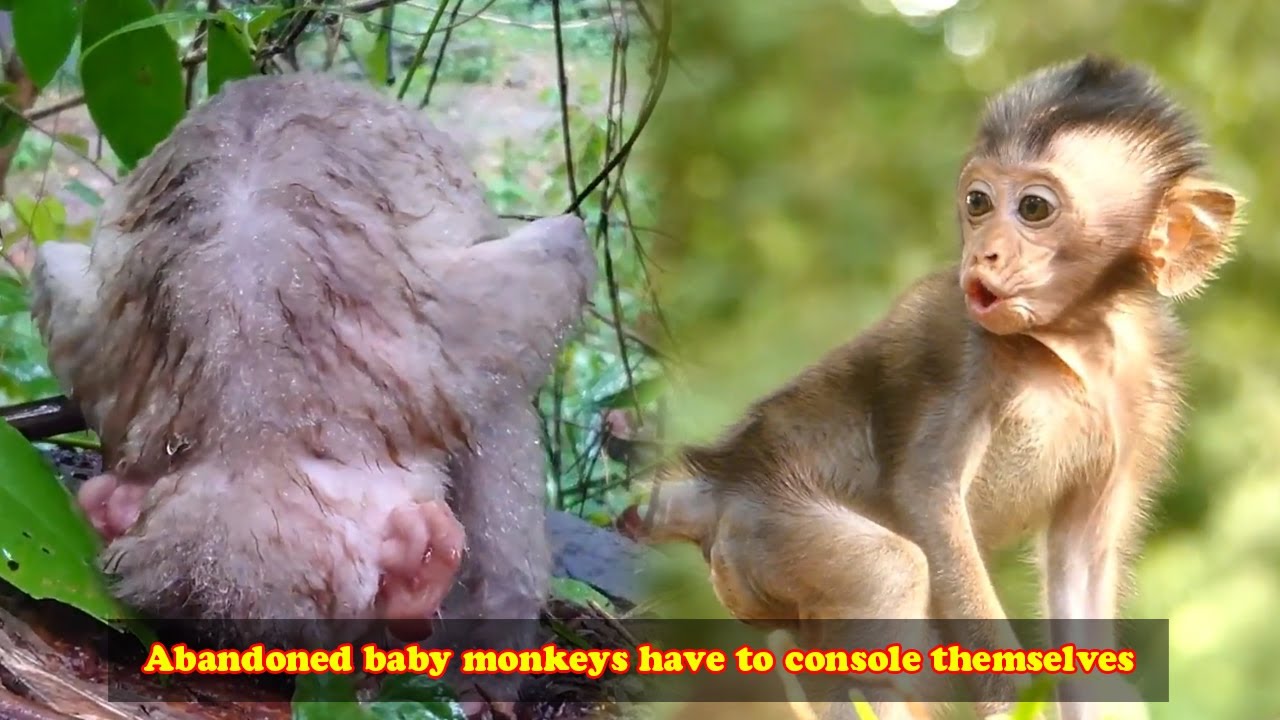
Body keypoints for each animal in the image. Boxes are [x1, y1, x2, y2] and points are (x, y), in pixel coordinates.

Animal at [640, 56, 1244, 720]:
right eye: (978, 201)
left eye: (1034, 209)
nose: (986, 253)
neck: (1068, 343)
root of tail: (715, 482)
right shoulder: (955, 346)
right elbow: (927, 493)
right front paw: (1010, 701)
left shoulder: (1147, 392)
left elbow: (1082, 559)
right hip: (770, 525)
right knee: (889, 577)